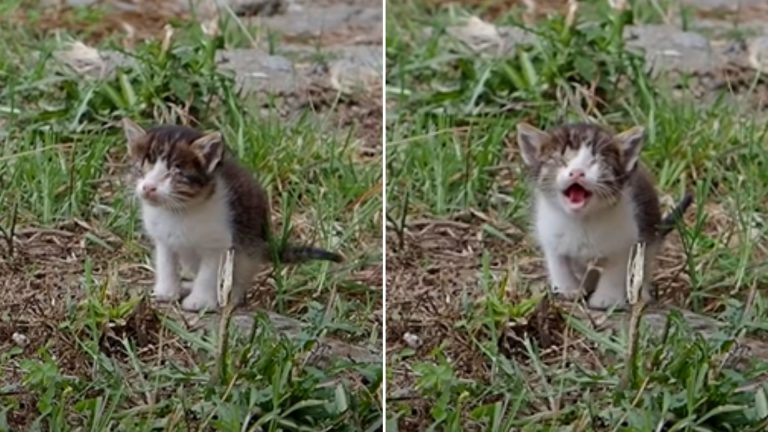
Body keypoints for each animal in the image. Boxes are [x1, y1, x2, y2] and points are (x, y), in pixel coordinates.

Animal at [121, 118, 344, 310]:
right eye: (141, 168)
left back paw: (232, 297)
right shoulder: (163, 239)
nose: (148, 187)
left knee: (241, 273)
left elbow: (209, 273)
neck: (179, 211)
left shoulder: (219, 243)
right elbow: (166, 263)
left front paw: (200, 301)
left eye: (175, 173)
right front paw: (166, 292)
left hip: (249, 247)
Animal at [516, 123, 688, 308]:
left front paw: (606, 298)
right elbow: (558, 263)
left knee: (645, 263)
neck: (581, 221)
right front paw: (568, 289)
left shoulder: (625, 240)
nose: (577, 172)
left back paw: (642, 293)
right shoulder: (549, 234)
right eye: (562, 160)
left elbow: (615, 270)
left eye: (595, 161)